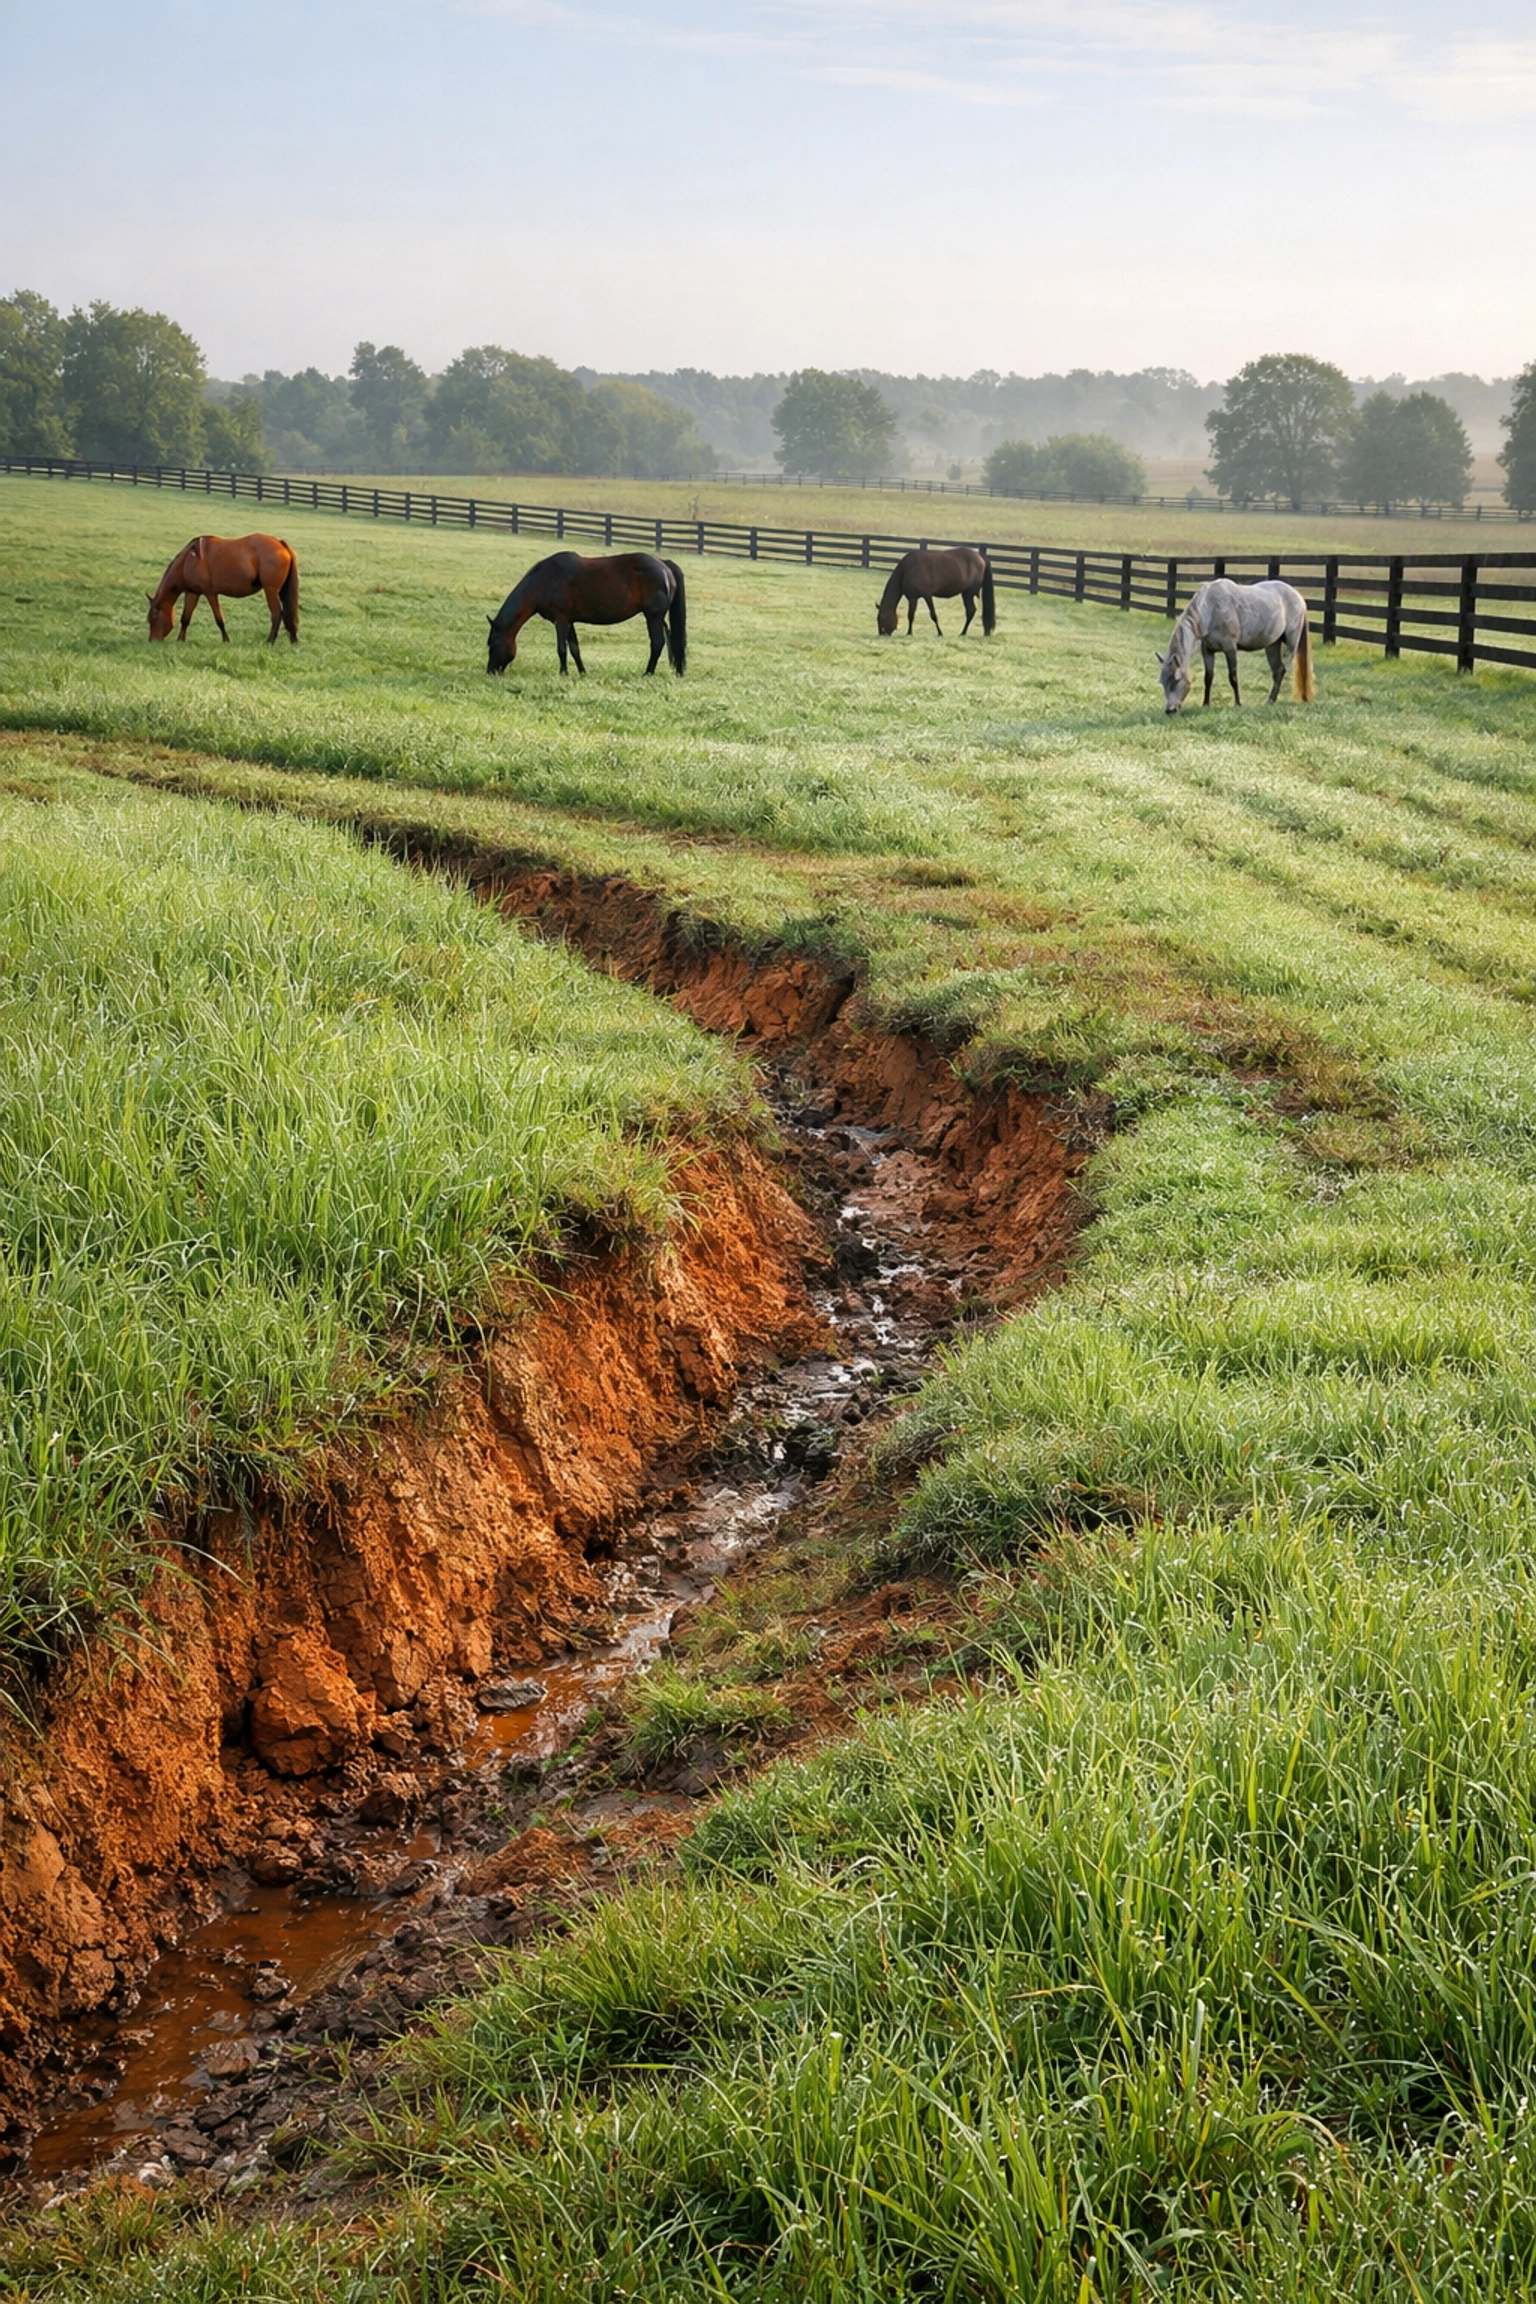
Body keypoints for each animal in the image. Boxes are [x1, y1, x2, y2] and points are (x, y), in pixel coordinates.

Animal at [147, 534, 299, 644]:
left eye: (152, 619)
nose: (152, 641)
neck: (188, 560)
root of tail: (280, 544)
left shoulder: (210, 593)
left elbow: (219, 619)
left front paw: (226, 640)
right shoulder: (192, 592)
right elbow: (185, 618)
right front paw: (180, 640)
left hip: (270, 590)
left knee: (277, 614)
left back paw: (270, 641)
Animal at [486, 551, 686, 677]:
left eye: (492, 644)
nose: (490, 672)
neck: (544, 580)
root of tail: (664, 565)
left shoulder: (560, 620)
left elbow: (561, 648)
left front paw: (563, 673)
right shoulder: (569, 621)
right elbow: (575, 649)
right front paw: (582, 673)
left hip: (653, 616)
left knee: (657, 643)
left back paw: (647, 673)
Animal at [1157, 578, 1313, 713]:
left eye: (1177, 680)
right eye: (1162, 682)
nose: (1170, 710)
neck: (1211, 609)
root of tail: (1299, 597)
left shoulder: (1230, 649)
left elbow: (1233, 677)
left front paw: (1238, 704)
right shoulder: (1207, 651)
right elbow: (1208, 678)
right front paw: (1206, 704)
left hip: (1291, 644)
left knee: (1287, 669)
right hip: (1272, 645)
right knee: (1278, 671)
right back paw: (1270, 701)